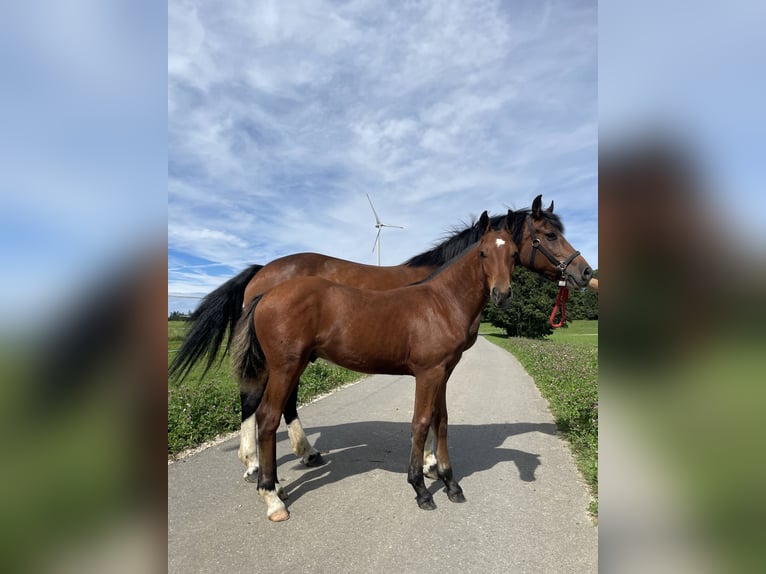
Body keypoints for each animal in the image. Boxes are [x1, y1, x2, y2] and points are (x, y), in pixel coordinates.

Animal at [168, 198, 592, 482]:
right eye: (551, 234)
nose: (585, 273)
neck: (444, 284)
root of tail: (262, 272)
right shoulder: (431, 366)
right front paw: (429, 465)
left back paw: (303, 454)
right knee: (255, 400)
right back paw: (256, 464)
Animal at [231, 210, 520, 520]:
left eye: (514, 254)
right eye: (482, 253)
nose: (502, 294)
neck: (440, 303)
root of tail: (266, 294)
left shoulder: (443, 373)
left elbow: (441, 422)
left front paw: (451, 484)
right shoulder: (428, 374)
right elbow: (420, 423)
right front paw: (421, 489)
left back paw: (275, 486)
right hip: (284, 368)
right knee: (267, 418)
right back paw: (272, 497)